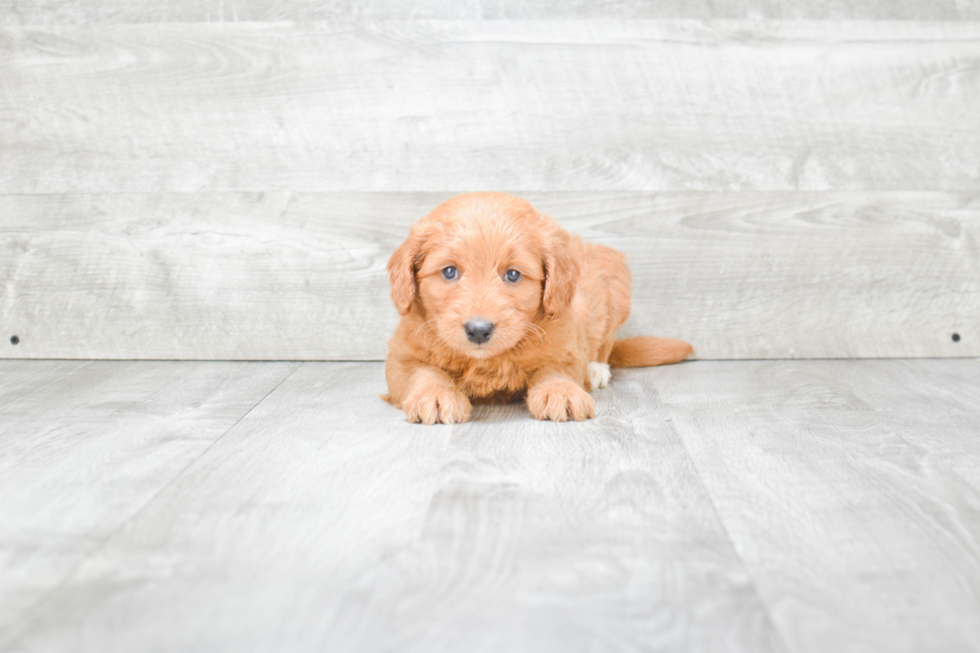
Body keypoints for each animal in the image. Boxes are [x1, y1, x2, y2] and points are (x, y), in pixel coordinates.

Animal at [378, 191, 692, 422]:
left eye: (513, 275)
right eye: (449, 272)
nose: (478, 330)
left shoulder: (565, 345)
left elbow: (557, 370)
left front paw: (561, 392)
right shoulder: (402, 354)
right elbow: (422, 373)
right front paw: (435, 395)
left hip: (614, 278)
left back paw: (596, 370)